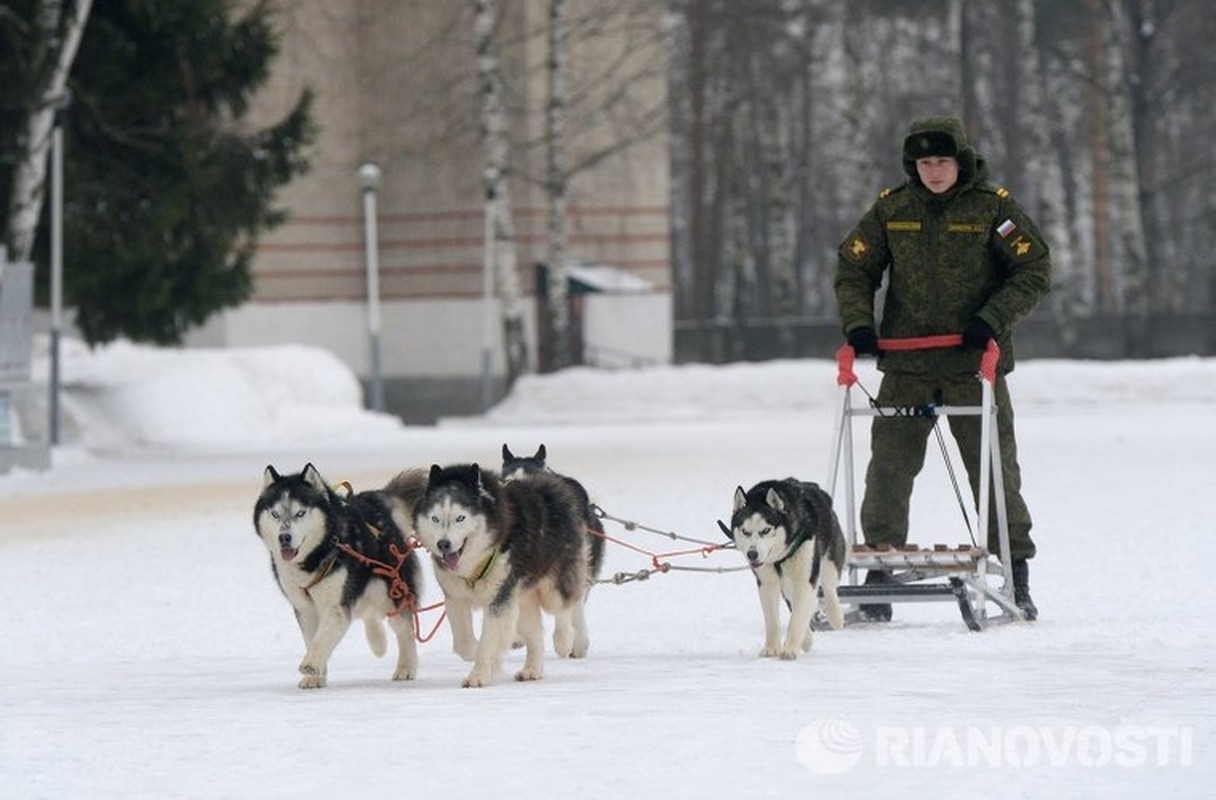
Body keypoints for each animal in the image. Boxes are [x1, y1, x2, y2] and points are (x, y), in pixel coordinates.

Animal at [251, 462, 428, 685]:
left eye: (300, 513)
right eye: (275, 514)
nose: (284, 537)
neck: (314, 557)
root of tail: (374, 499)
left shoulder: (335, 606)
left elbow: (321, 639)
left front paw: (311, 665)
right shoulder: (305, 609)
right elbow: (312, 639)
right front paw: (315, 678)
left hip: (393, 590)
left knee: (404, 629)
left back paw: (406, 667)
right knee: (369, 613)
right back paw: (377, 643)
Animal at [413, 462, 593, 685]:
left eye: (460, 518)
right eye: (435, 518)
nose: (443, 544)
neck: (476, 564)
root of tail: (550, 484)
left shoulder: (498, 599)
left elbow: (488, 642)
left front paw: (479, 676)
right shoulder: (456, 598)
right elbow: (464, 644)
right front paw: (479, 655)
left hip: (553, 589)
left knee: (568, 605)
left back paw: (565, 639)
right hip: (522, 600)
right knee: (535, 634)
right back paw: (532, 669)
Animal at [724, 476, 851, 656]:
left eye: (766, 530)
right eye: (745, 531)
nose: (752, 554)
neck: (779, 557)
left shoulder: (805, 579)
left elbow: (798, 617)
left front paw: (790, 648)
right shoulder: (767, 583)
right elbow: (773, 620)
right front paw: (771, 648)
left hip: (829, 561)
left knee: (829, 589)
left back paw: (835, 616)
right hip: (788, 584)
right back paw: (807, 639)